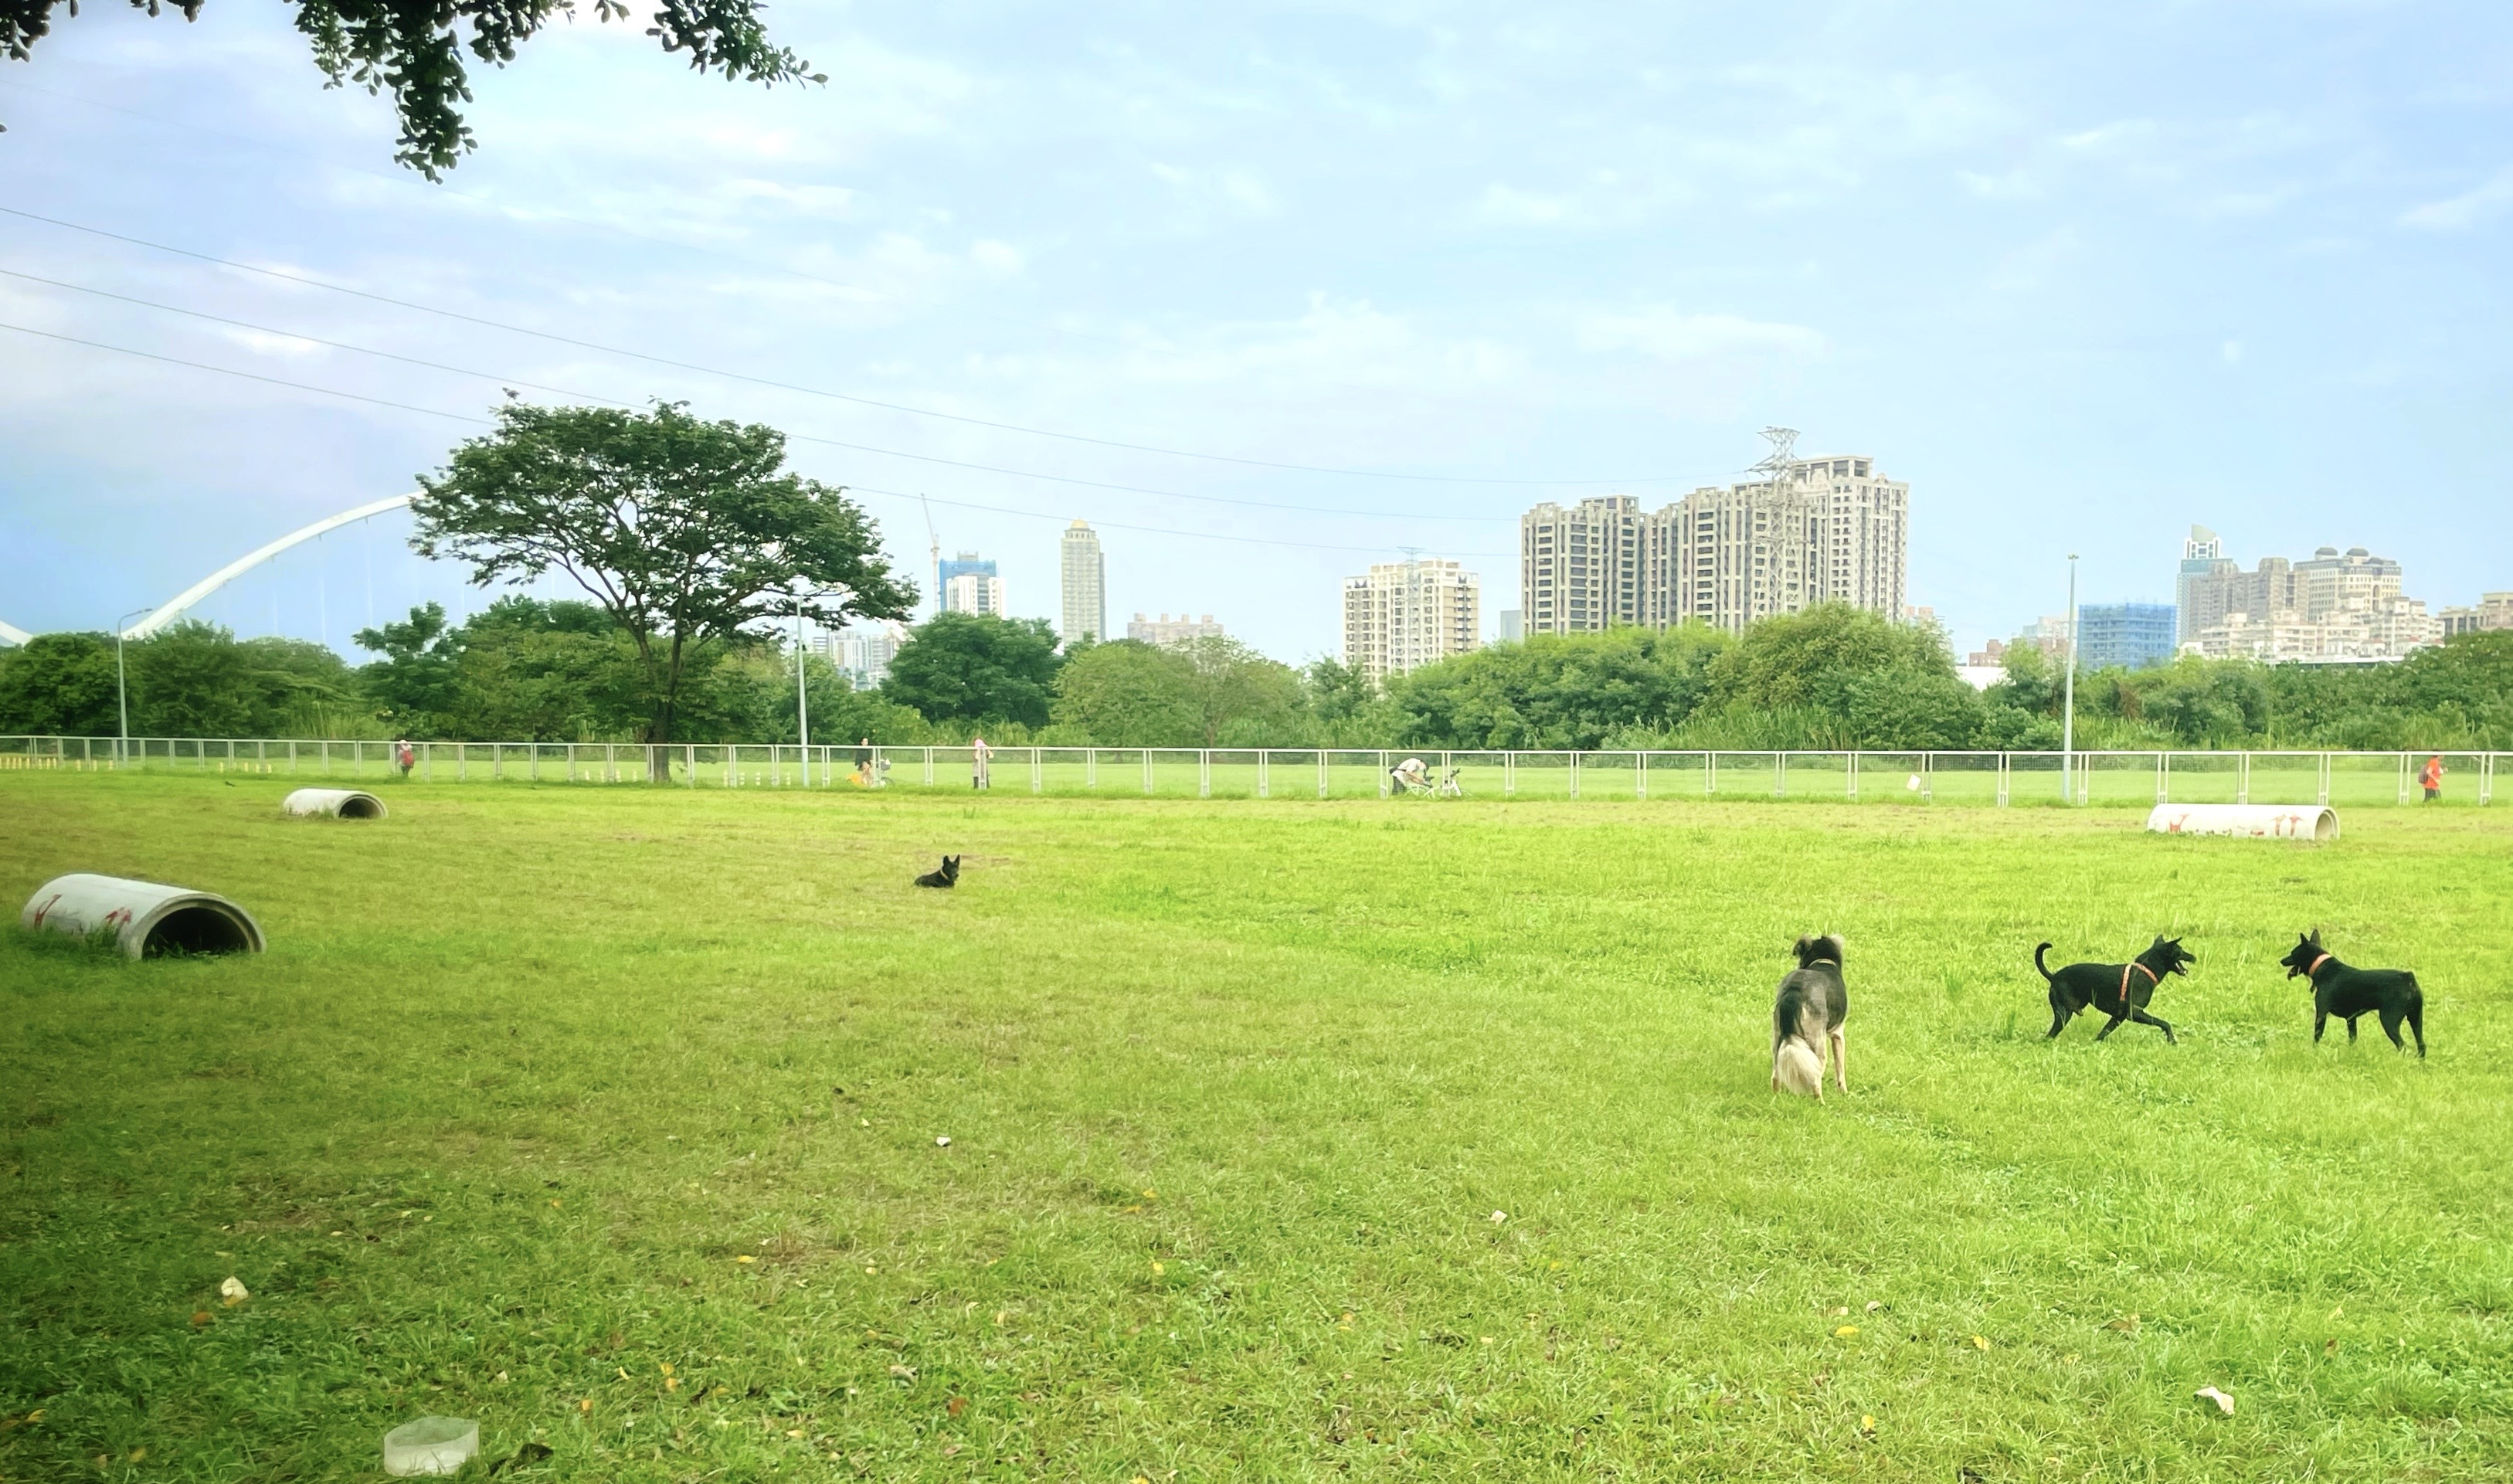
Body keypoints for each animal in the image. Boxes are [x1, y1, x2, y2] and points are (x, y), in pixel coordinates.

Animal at [1779, 934, 1859, 1099]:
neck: (1823, 961)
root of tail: (1796, 991)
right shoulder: (1838, 1035)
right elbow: (1840, 1070)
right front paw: (1844, 1093)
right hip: (1818, 1041)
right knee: (1815, 1078)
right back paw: (1820, 1101)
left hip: (1779, 1035)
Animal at [2030, 939, 2191, 1044]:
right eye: (2180, 950)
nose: (2193, 957)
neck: (2145, 970)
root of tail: (2053, 977)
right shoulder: (2134, 1013)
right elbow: (2165, 1023)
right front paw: (2172, 1040)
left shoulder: (2118, 1017)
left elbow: (2104, 1032)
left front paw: (2095, 1043)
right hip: (2064, 1015)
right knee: (2050, 1035)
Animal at [2281, 929, 2412, 1054]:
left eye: (2292, 953)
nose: (2281, 960)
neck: (2322, 966)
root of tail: (2407, 979)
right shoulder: (2351, 1019)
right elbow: (2352, 1038)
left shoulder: (2321, 1014)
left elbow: (2317, 1037)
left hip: (2389, 1021)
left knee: (2402, 1045)